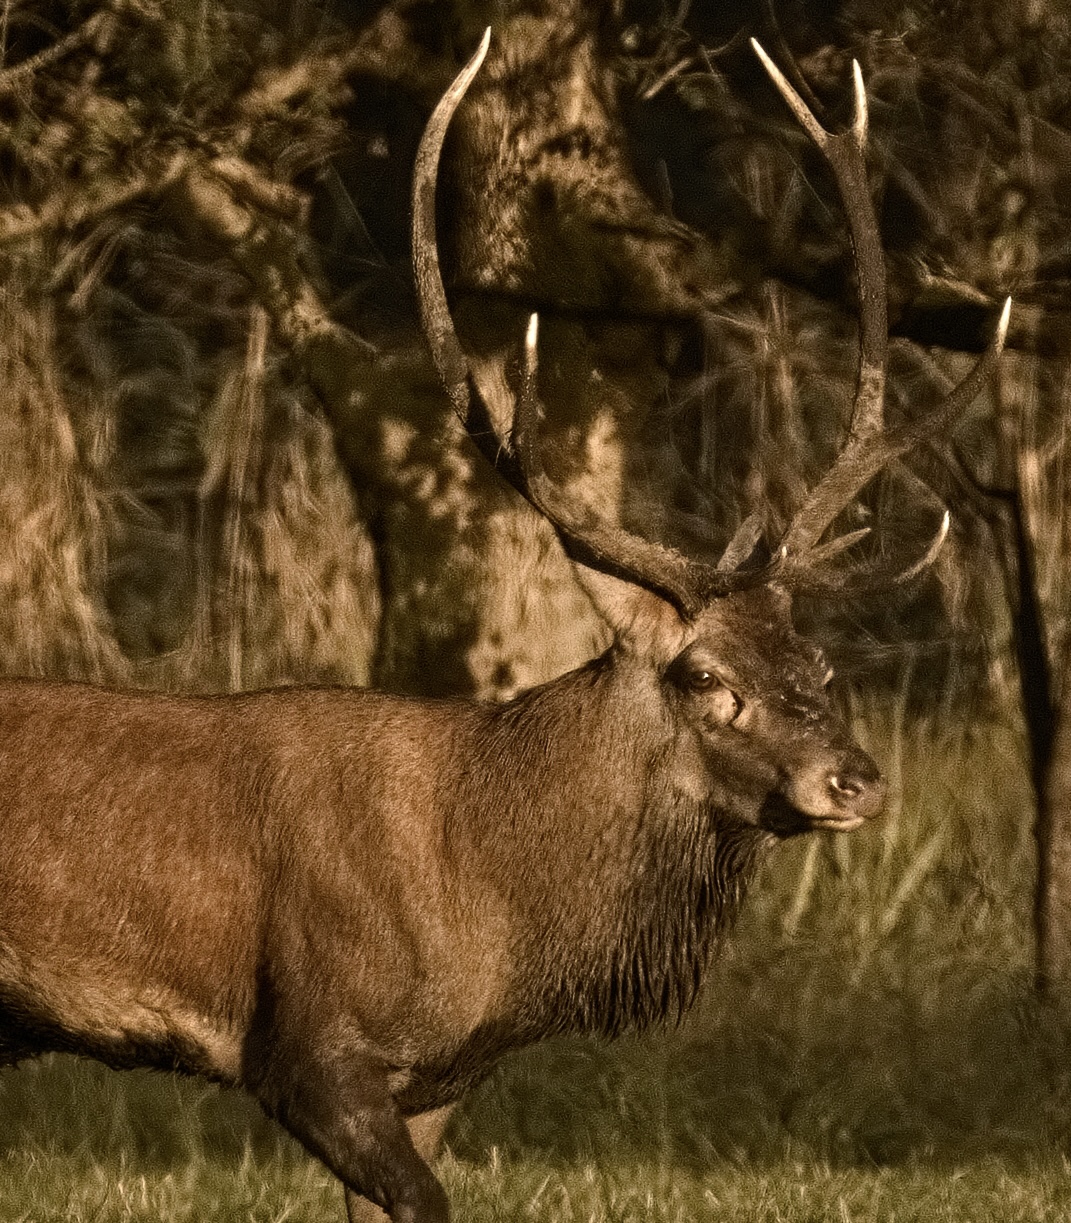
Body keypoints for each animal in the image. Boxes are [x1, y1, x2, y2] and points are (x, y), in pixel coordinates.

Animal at [0, 30, 1007, 1223]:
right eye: (704, 675)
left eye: (819, 662)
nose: (855, 778)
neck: (491, 899)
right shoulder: (305, 1042)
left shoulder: (436, 1077)